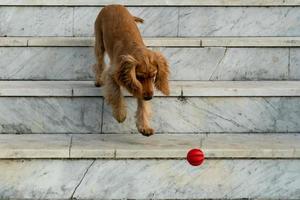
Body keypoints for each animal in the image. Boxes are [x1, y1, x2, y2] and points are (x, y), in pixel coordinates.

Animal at [92, 4, 170, 137]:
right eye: (139, 76)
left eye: (153, 76)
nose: (149, 97)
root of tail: (112, 4)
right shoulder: (113, 74)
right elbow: (116, 94)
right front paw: (120, 115)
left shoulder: (144, 89)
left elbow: (143, 105)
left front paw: (144, 126)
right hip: (99, 42)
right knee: (100, 62)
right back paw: (98, 80)